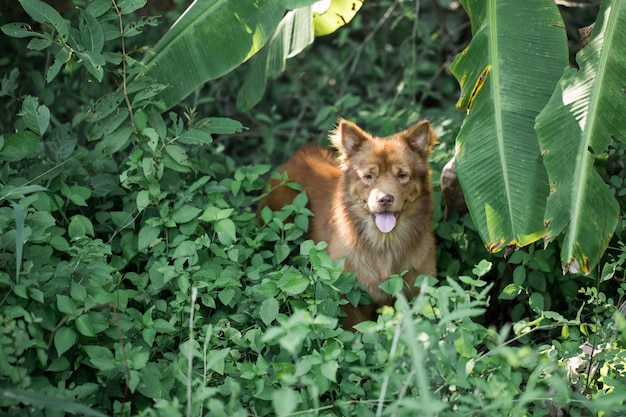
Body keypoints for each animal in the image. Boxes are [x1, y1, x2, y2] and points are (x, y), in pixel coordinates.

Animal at [258, 118, 434, 326]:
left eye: (402, 175)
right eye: (368, 176)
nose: (385, 199)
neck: (385, 243)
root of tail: (298, 157)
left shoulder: (418, 290)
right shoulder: (349, 298)